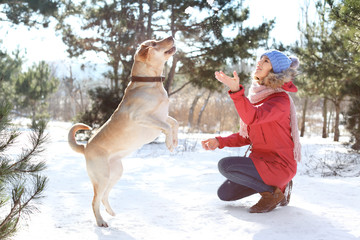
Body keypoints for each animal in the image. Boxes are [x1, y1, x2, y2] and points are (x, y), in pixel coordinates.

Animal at [68, 36, 179, 228]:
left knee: (104, 196)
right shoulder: (142, 117)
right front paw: (169, 144)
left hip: (116, 173)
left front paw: (175, 141)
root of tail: (85, 147)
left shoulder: (163, 116)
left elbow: (174, 124)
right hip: (102, 177)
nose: (171, 37)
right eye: (154, 43)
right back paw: (101, 221)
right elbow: (167, 127)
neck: (150, 83)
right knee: (94, 200)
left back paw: (111, 212)